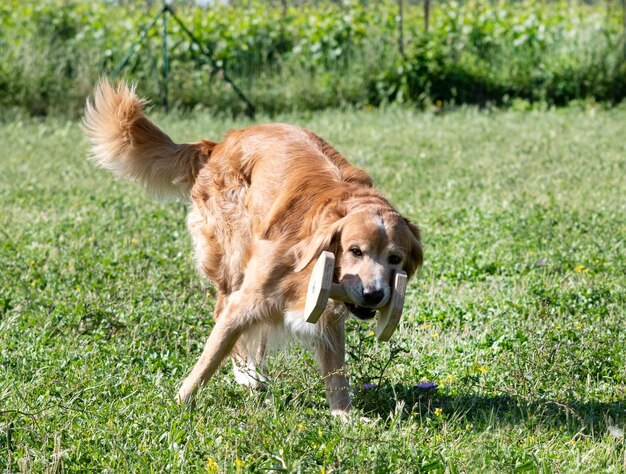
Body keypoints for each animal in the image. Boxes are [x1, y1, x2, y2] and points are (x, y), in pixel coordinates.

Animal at [83, 80, 422, 414]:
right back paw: (247, 376)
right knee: (223, 309)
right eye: (355, 250)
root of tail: (220, 143)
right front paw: (180, 404)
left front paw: (345, 417)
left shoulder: (327, 314)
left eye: (395, 258)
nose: (374, 294)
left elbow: (336, 373)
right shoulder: (247, 300)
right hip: (234, 257)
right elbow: (210, 357)